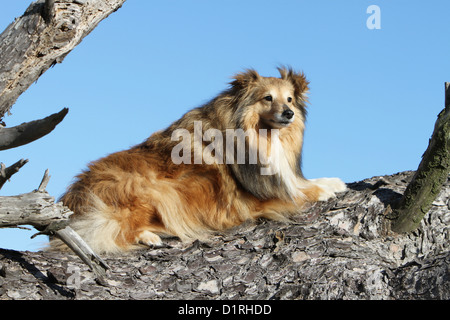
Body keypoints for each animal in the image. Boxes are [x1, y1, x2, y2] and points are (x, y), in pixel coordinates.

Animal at [53, 67, 348, 252]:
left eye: (289, 99)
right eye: (268, 98)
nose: (289, 114)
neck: (262, 137)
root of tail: (71, 198)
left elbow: (299, 182)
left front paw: (333, 182)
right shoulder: (250, 200)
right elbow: (297, 192)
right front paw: (322, 191)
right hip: (154, 190)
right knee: (112, 230)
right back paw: (148, 236)